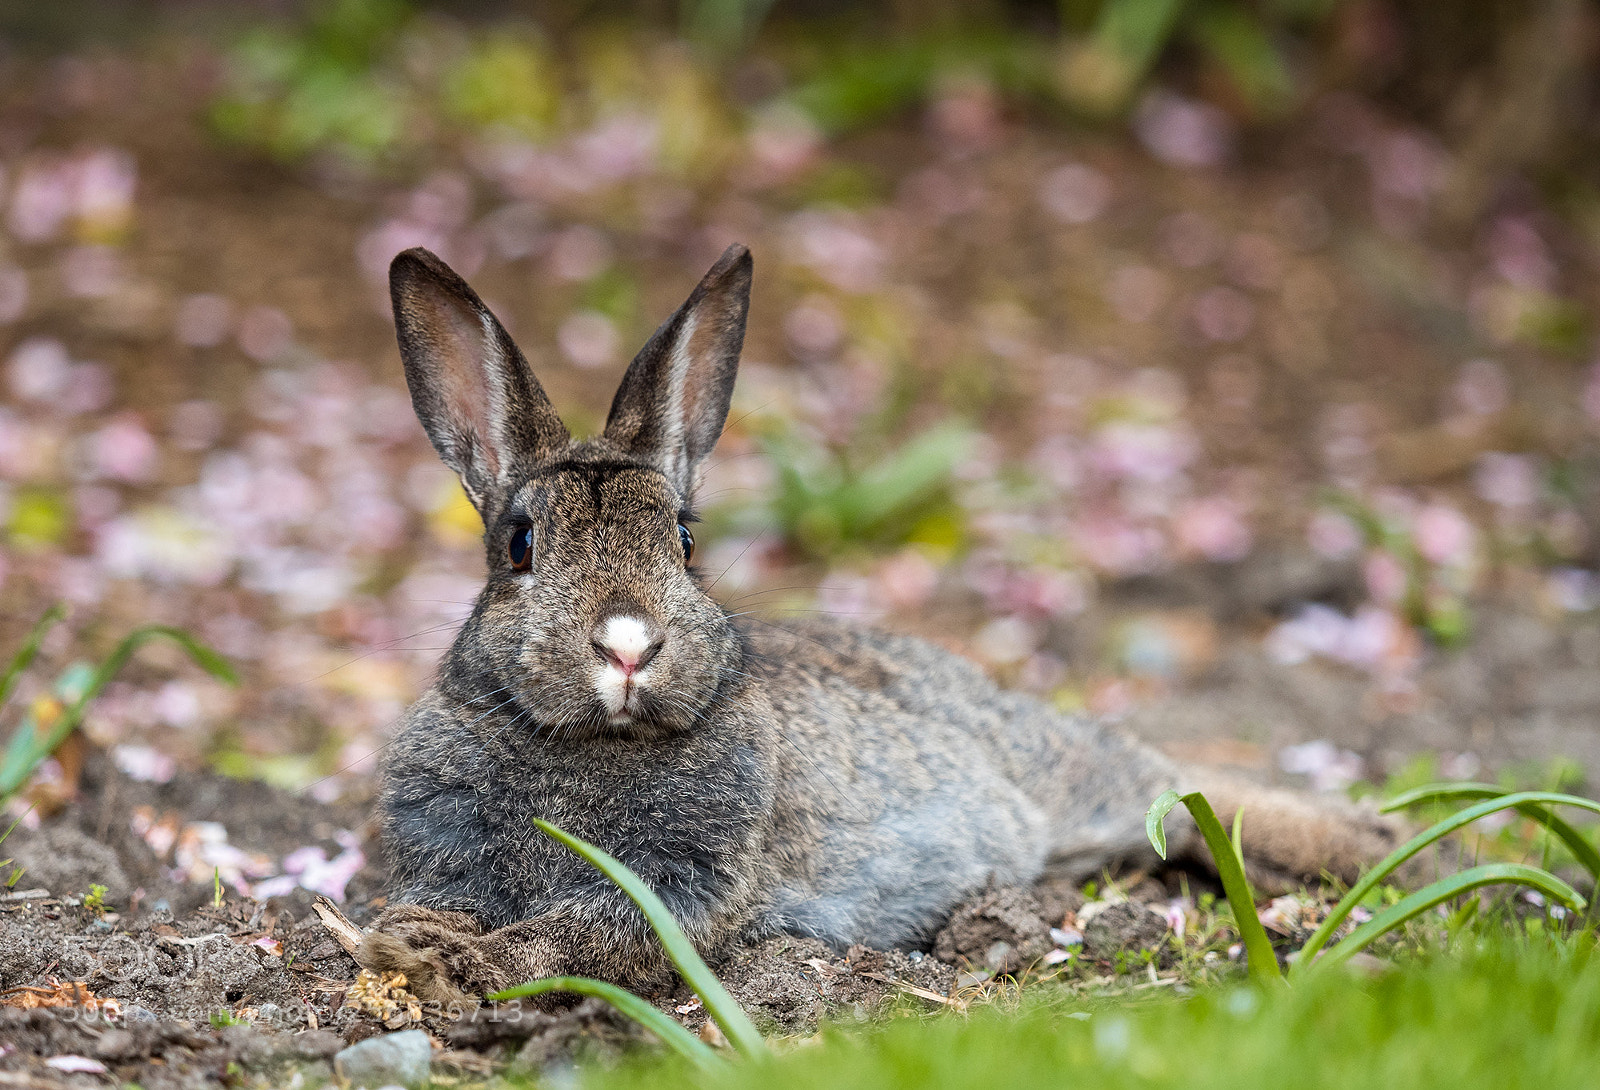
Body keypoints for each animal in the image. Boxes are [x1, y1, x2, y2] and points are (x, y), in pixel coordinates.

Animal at [357, 244, 1403, 1006]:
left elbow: (584, 931)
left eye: (686, 540)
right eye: (520, 543)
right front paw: (409, 936)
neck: (593, 745)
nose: (628, 644)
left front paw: (445, 960)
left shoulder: (689, 879)